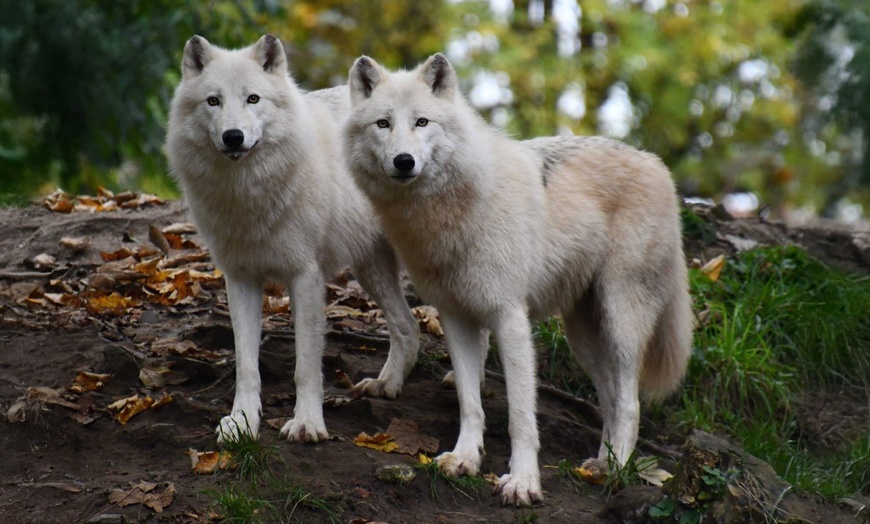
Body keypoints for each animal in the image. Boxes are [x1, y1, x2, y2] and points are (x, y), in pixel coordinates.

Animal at [166, 34, 422, 446]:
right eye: (213, 101)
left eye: (253, 98)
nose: (233, 137)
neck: (249, 195)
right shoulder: (240, 279)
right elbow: (246, 366)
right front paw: (241, 423)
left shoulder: (305, 277)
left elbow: (306, 365)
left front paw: (307, 424)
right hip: (371, 270)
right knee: (408, 327)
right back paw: (386, 385)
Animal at [344, 54, 692, 508]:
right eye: (383, 124)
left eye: (421, 121)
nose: (404, 161)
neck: (453, 210)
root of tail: (658, 165)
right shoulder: (455, 316)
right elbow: (469, 401)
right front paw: (464, 458)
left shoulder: (509, 316)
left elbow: (521, 415)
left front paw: (523, 482)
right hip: (584, 336)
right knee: (612, 401)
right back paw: (600, 466)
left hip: (620, 322)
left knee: (631, 404)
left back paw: (617, 471)